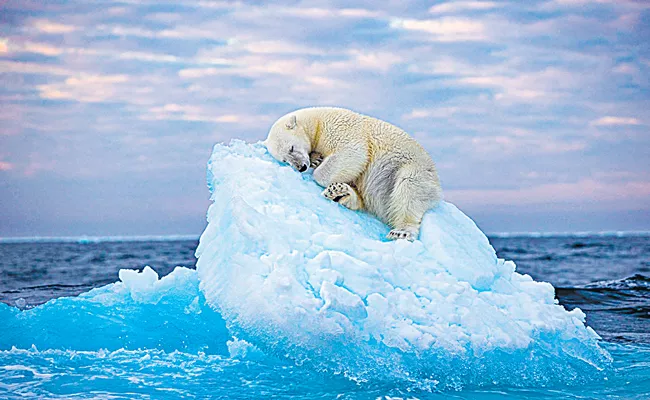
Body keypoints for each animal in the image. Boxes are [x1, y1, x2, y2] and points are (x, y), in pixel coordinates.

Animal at [264, 106, 440, 241]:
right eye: (285, 160)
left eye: (291, 148)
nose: (301, 167)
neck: (317, 121)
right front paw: (316, 159)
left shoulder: (340, 128)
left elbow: (353, 153)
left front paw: (317, 167)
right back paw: (339, 192)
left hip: (413, 168)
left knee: (409, 189)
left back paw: (401, 231)